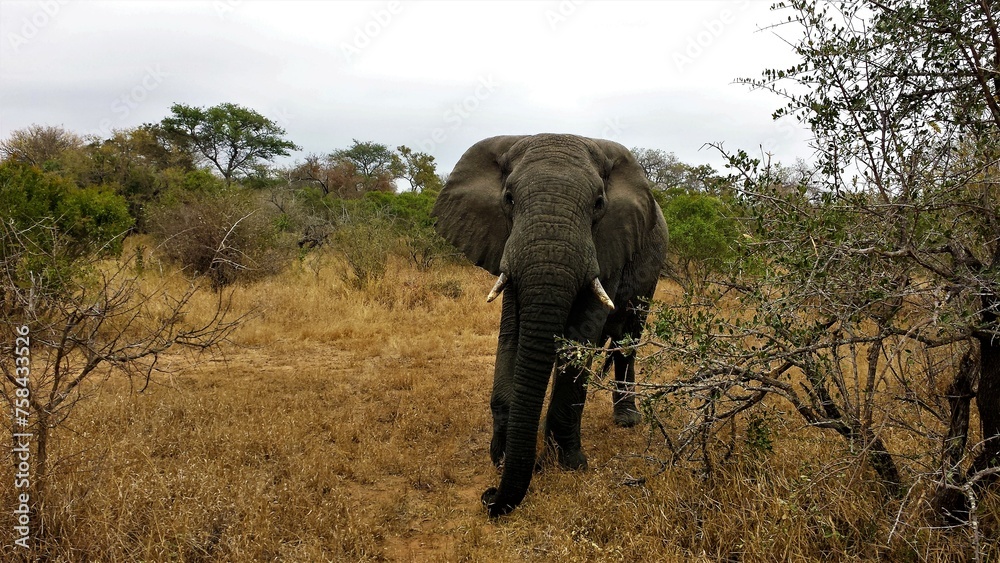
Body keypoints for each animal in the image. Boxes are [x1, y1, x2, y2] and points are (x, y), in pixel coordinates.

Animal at [432, 134, 668, 517]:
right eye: (508, 199)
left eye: (599, 204)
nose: (489, 497)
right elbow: (512, 334)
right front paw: (502, 457)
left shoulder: (608, 246)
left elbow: (581, 336)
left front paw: (570, 463)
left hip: (651, 272)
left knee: (626, 339)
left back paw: (626, 421)